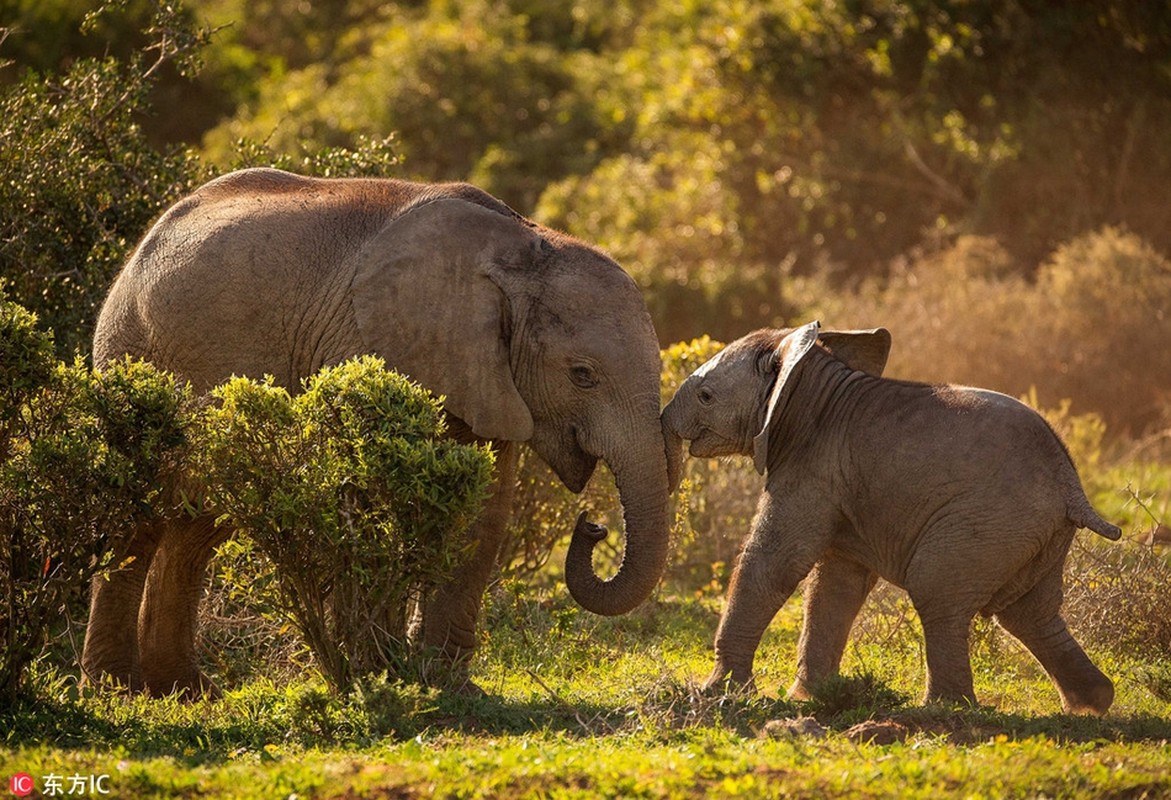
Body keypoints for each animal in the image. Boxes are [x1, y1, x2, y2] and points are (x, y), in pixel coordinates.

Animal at [82, 167, 679, 693]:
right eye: (583, 375)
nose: (593, 526)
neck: (525, 249)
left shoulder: (485, 376)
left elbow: (484, 512)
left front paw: (443, 682)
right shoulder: (365, 344)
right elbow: (364, 499)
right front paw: (379, 674)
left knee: (195, 526)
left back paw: (184, 691)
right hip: (131, 351)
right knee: (142, 516)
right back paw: (118, 689)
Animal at [665, 318, 1119, 712]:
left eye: (705, 396)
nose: (665, 422)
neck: (810, 383)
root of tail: (1071, 486)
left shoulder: (812, 470)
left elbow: (775, 562)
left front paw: (718, 692)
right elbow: (836, 583)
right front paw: (810, 698)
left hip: (991, 520)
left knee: (938, 591)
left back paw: (943, 707)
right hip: (1031, 534)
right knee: (1028, 613)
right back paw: (1091, 703)